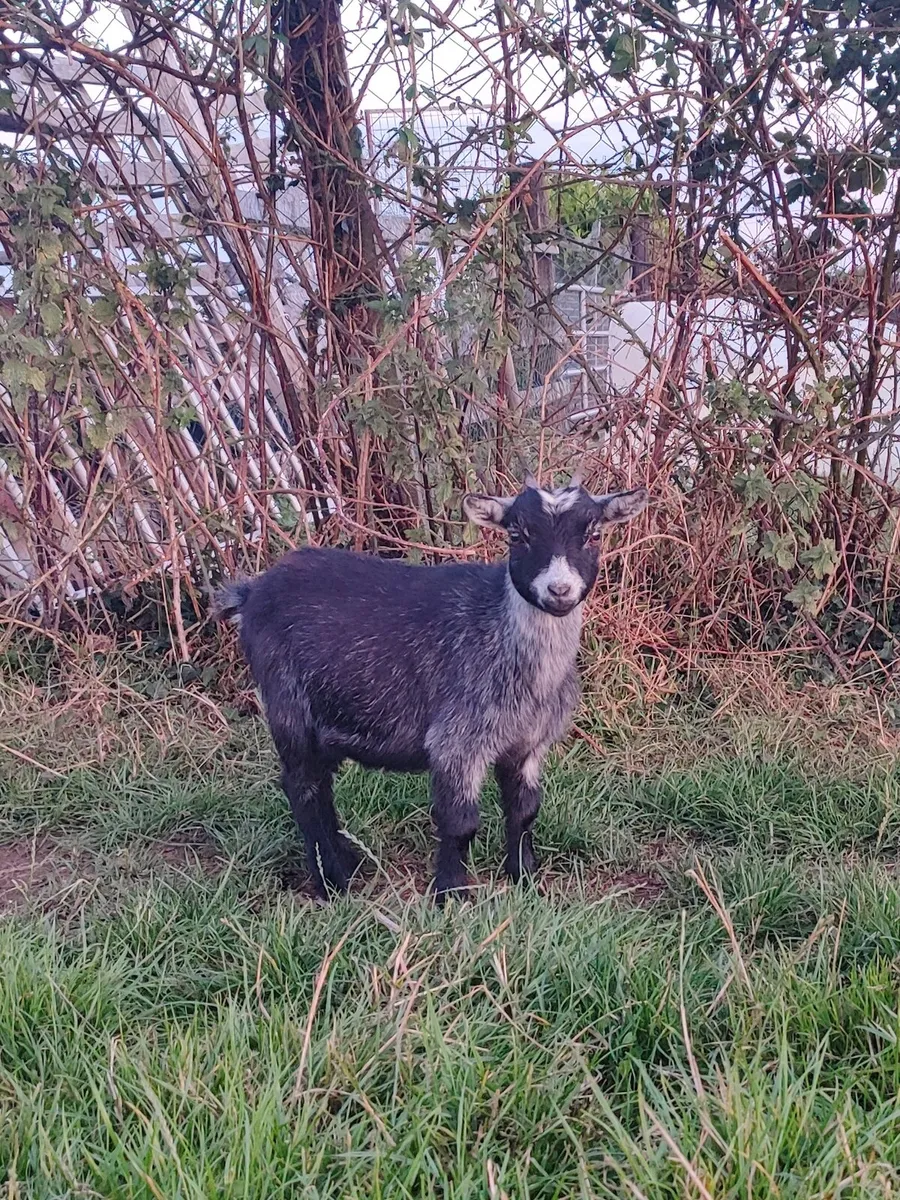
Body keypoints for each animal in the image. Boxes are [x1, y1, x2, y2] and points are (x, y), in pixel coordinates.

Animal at [217, 477, 648, 901]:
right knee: (302, 787)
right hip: (288, 702)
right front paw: (451, 893)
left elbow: (525, 811)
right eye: (516, 535)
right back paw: (333, 881)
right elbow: (460, 823)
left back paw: (347, 861)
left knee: (320, 785)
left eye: (594, 535)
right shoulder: (456, 742)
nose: (559, 590)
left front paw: (524, 878)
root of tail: (252, 592)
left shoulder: (527, 745)